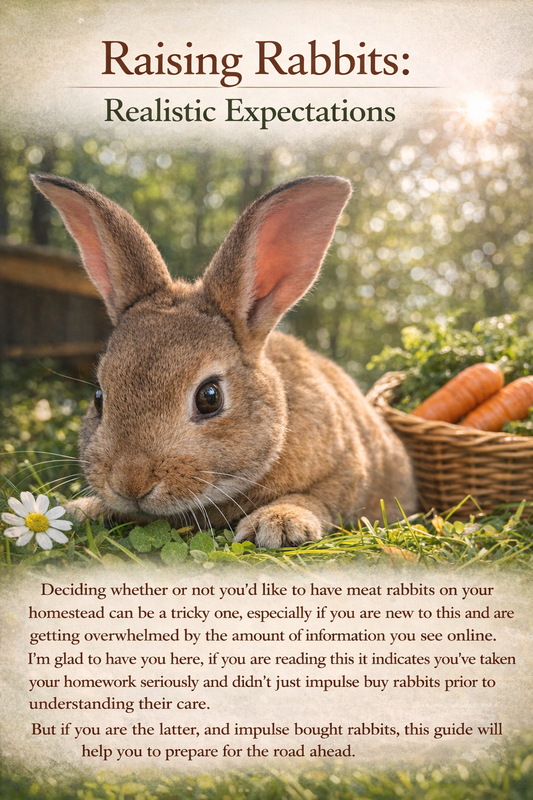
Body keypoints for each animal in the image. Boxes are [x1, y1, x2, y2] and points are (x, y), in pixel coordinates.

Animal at [32, 172, 417, 548]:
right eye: (99, 397)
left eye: (209, 397)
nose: (130, 483)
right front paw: (80, 509)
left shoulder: (347, 471)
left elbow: (320, 499)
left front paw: (278, 523)